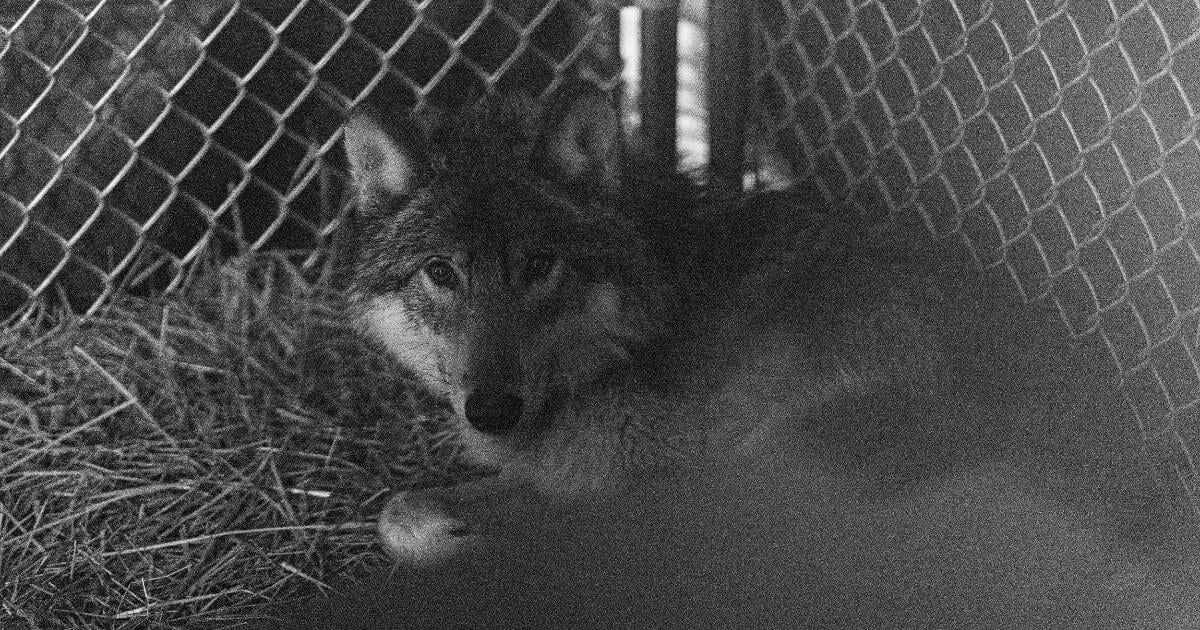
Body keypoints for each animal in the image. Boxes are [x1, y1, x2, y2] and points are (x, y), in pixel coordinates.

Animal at [337, 88, 947, 563]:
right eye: (440, 272)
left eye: (540, 265)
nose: (491, 411)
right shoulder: (565, 470)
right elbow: (399, 508)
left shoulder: (651, 482)